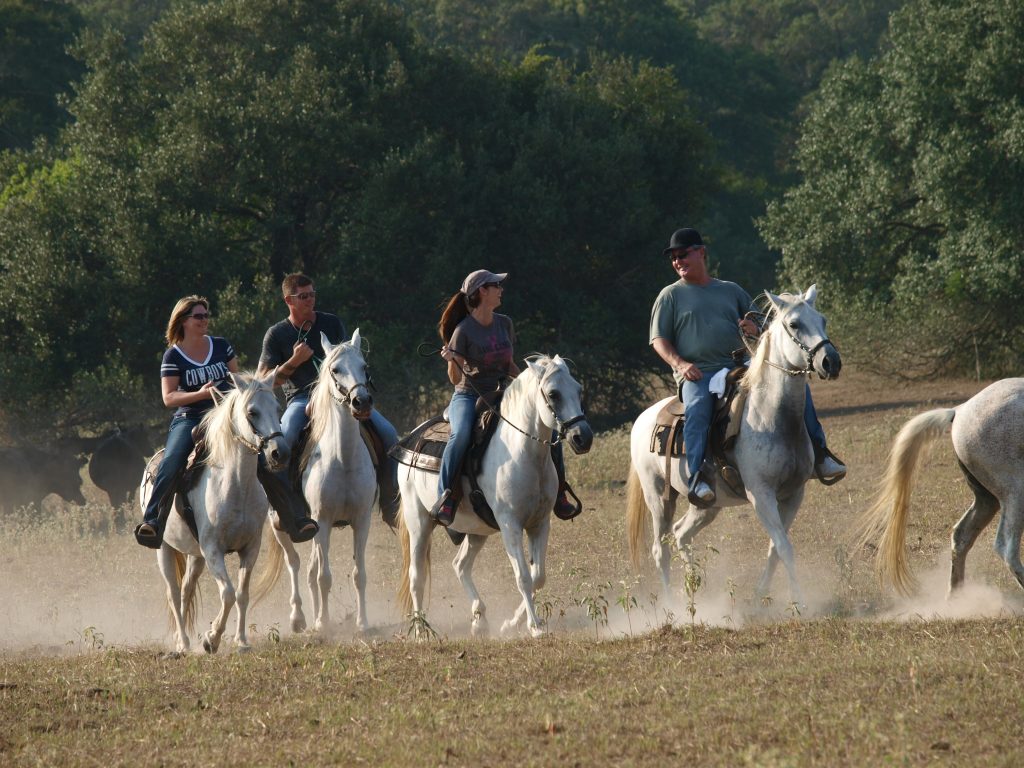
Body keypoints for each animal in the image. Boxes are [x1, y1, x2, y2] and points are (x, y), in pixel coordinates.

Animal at [138, 372, 286, 655]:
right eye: (252, 412)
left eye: (277, 408)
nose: (278, 452)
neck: (234, 485)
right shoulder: (213, 549)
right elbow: (227, 593)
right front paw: (211, 639)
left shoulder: (250, 548)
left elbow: (242, 594)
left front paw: (242, 641)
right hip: (164, 549)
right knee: (173, 593)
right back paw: (183, 643)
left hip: (195, 555)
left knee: (186, 590)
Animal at [258, 331, 382, 638]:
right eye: (335, 369)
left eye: (364, 366)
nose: (361, 402)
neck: (343, 459)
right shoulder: (322, 521)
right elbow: (324, 576)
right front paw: (323, 624)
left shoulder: (361, 520)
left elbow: (358, 575)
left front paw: (362, 624)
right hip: (282, 525)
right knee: (295, 564)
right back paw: (300, 618)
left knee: (311, 569)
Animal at [397, 354, 593, 638]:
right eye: (553, 394)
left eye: (578, 390)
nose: (583, 437)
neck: (523, 453)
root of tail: (410, 439)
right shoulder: (510, 524)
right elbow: (523, 577)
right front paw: (535, 627)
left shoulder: (540, 523)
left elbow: (538, 576)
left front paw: (513, 623)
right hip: (419, 523)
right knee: (417, 576)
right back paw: (422, 631)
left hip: (476, 531)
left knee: (460, 565)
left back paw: (479, 619)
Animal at [626, 288, 843, 606]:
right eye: (794, 324)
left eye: (823, 320)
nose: (831, 362)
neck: (770, 416)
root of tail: (642, 420)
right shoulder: (761, 494)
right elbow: (784, 546)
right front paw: (799, 601)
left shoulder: (793, 494)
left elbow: (776, 548)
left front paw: (760, 596)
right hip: (658, 498)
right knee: (660, 548)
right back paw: (671, 604)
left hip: (706, 504)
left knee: (681, 534)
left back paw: (694, 588)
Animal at [860, 382, 1024, 598]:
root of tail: (960, 410)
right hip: (1015, 493)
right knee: (1006, 549)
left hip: (989, 500)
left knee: (962, 536)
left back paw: (956, 598)